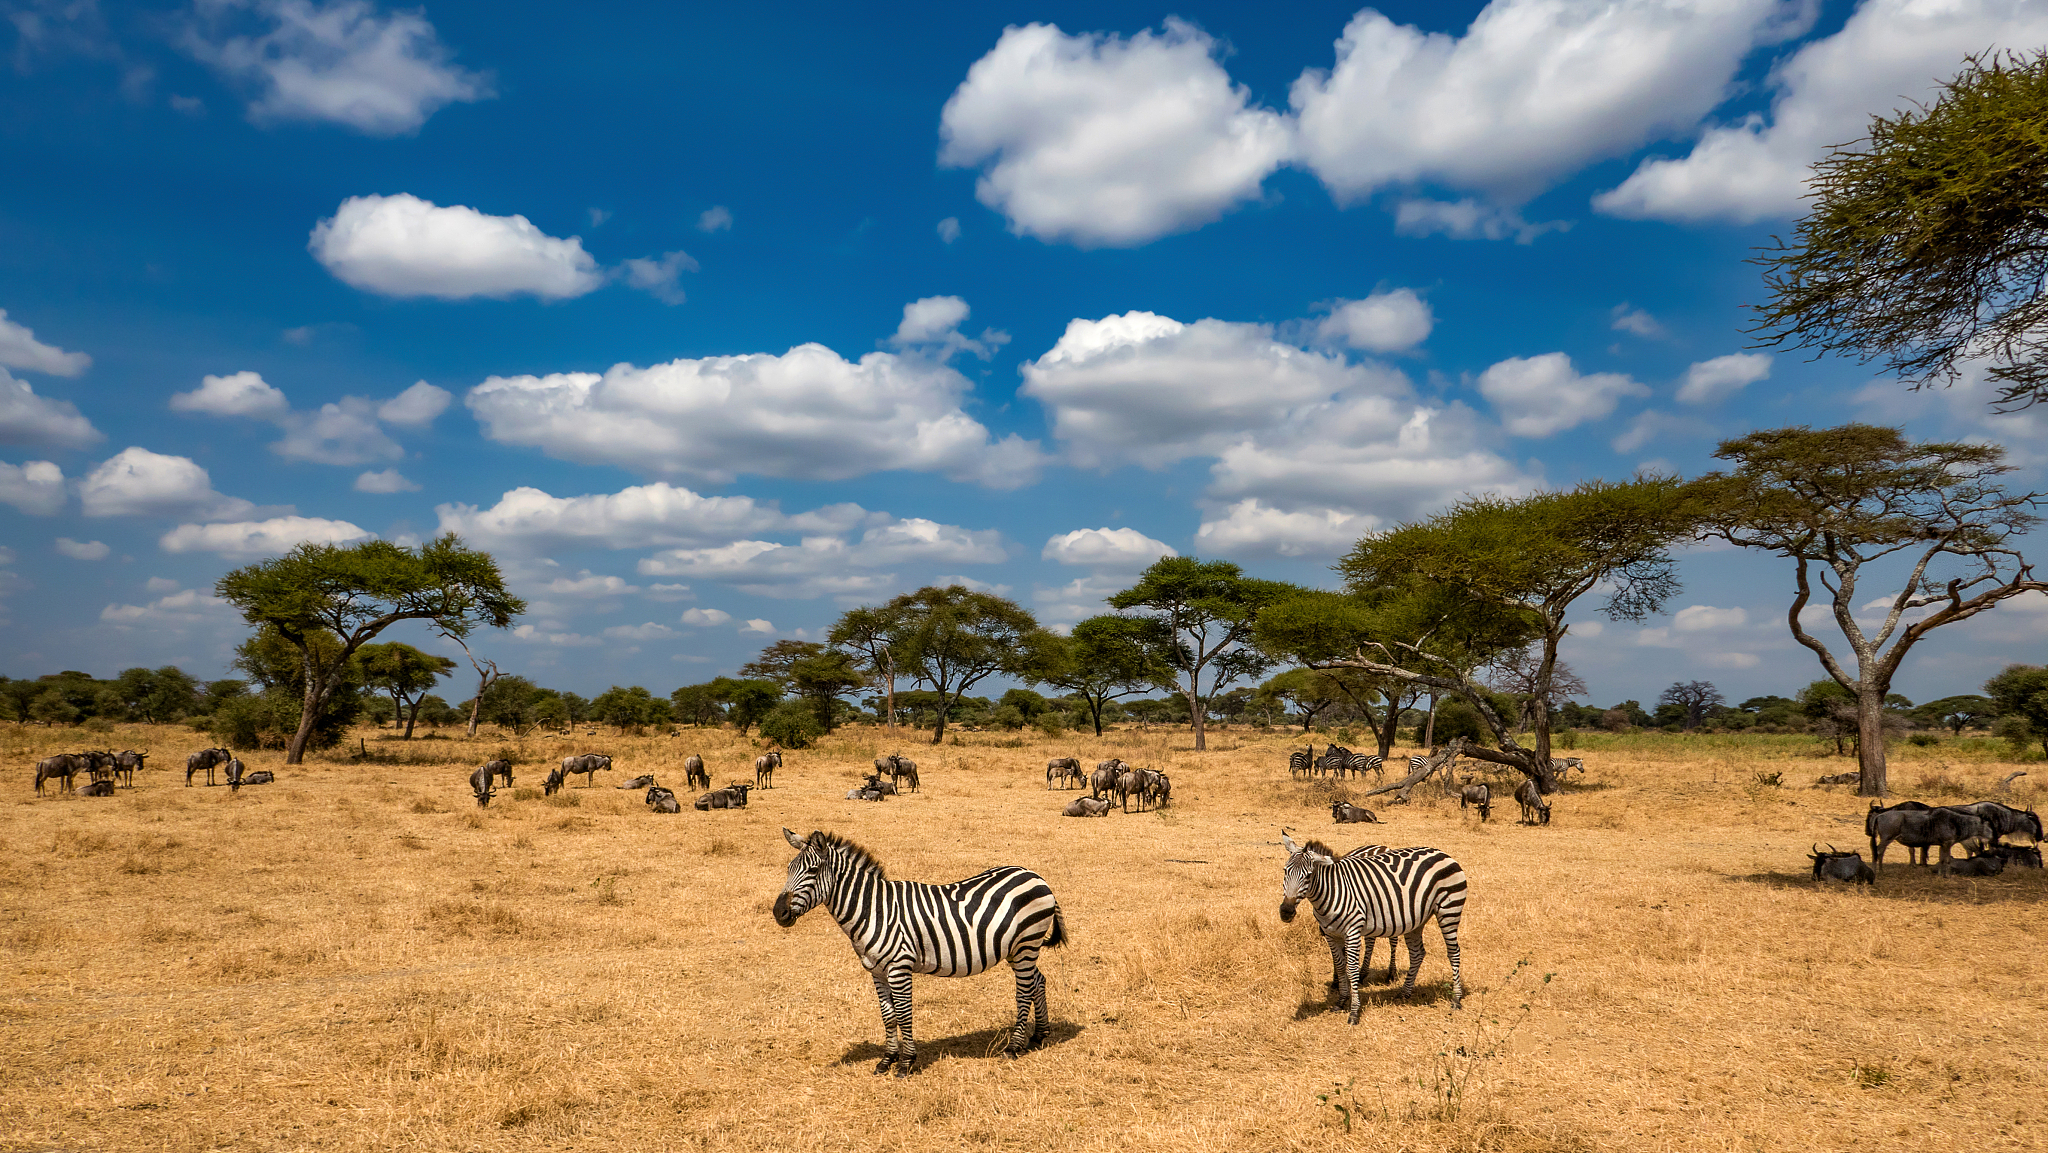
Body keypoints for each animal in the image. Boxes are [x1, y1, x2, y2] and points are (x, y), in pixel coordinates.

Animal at [771, 828, 1067, 1076]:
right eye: (788, 869)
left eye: (813, 870)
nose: (778, 913)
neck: (873, 909)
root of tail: (1035, 876)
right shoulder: (877, 971)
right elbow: (888, 1016)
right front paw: (886, 1060)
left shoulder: (899, 967)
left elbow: (903, 1013)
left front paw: (906, 1063)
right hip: (1017, 949)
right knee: (1037, 981)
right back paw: (1039, 1035)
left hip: (1027, 943)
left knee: (1024, 991)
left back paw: (1014, 1047)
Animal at [1278, 832, 1466, 1023]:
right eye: (1285, 871)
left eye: (1308, 876)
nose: (1286, 911)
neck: (1333, 890)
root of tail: (1441, 853)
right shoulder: (1331, 935)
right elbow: (1340, 966)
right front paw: (1341, 1000)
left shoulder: (1352, 931)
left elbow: (1352, 969)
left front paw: (1354, 1011)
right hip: (1417, 919)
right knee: (1417, 954)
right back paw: (1404, 993)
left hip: (1449, 909)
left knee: (1453, 952)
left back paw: (1456, 999)